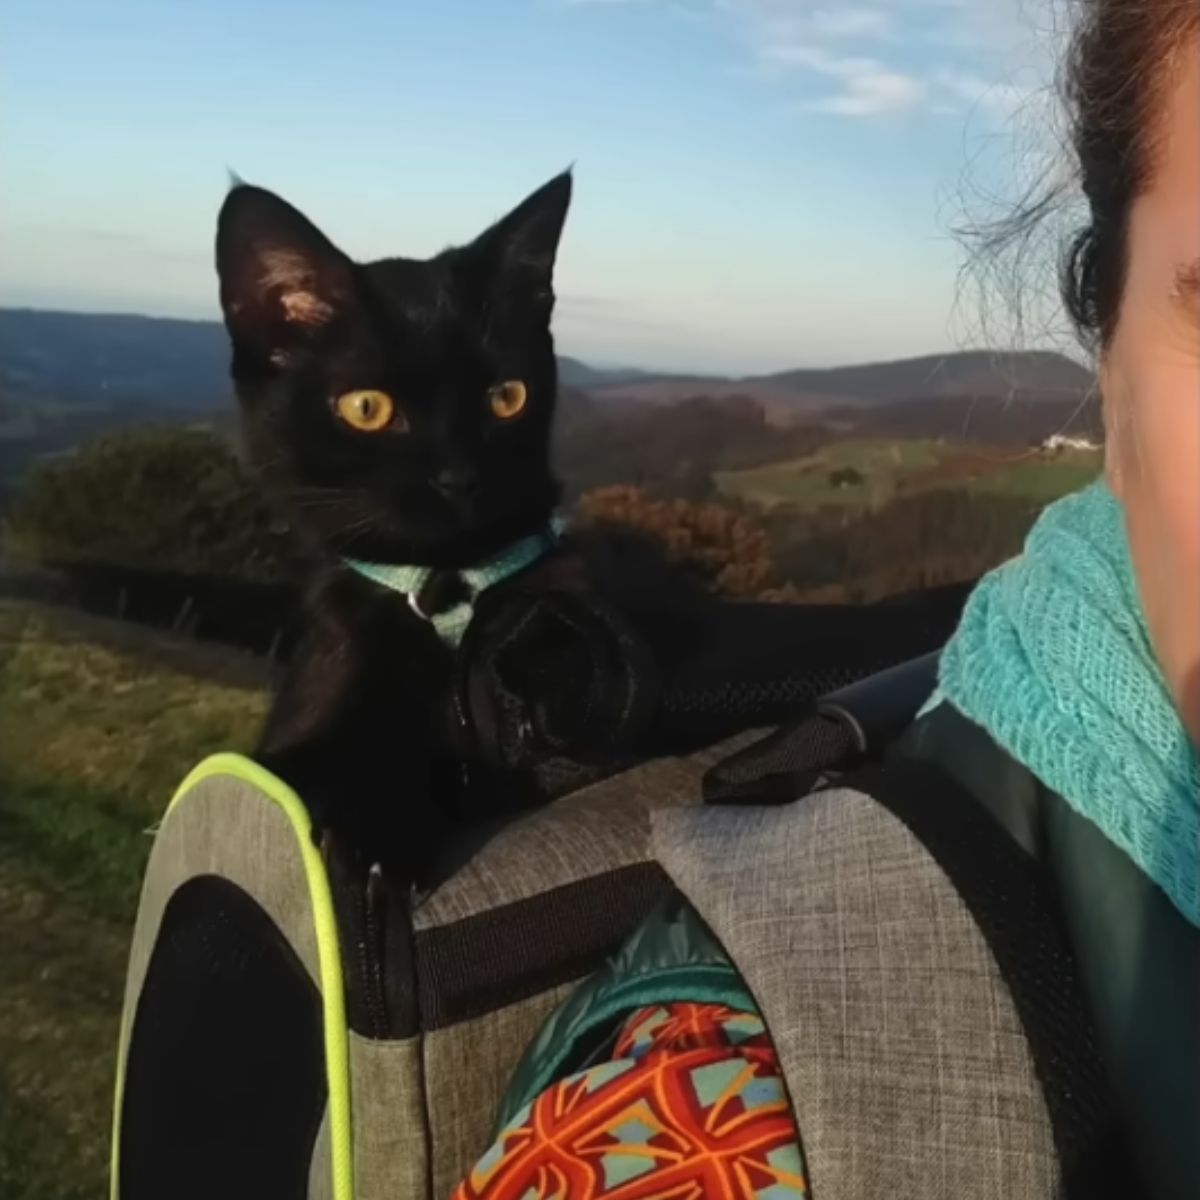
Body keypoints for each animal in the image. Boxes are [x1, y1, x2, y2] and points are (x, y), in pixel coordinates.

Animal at [213, 171, 657, 883]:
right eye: (367, 408)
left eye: (507, 398)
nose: (460, 478)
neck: (449, 588)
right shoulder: (320, 683)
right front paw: (374, 824)